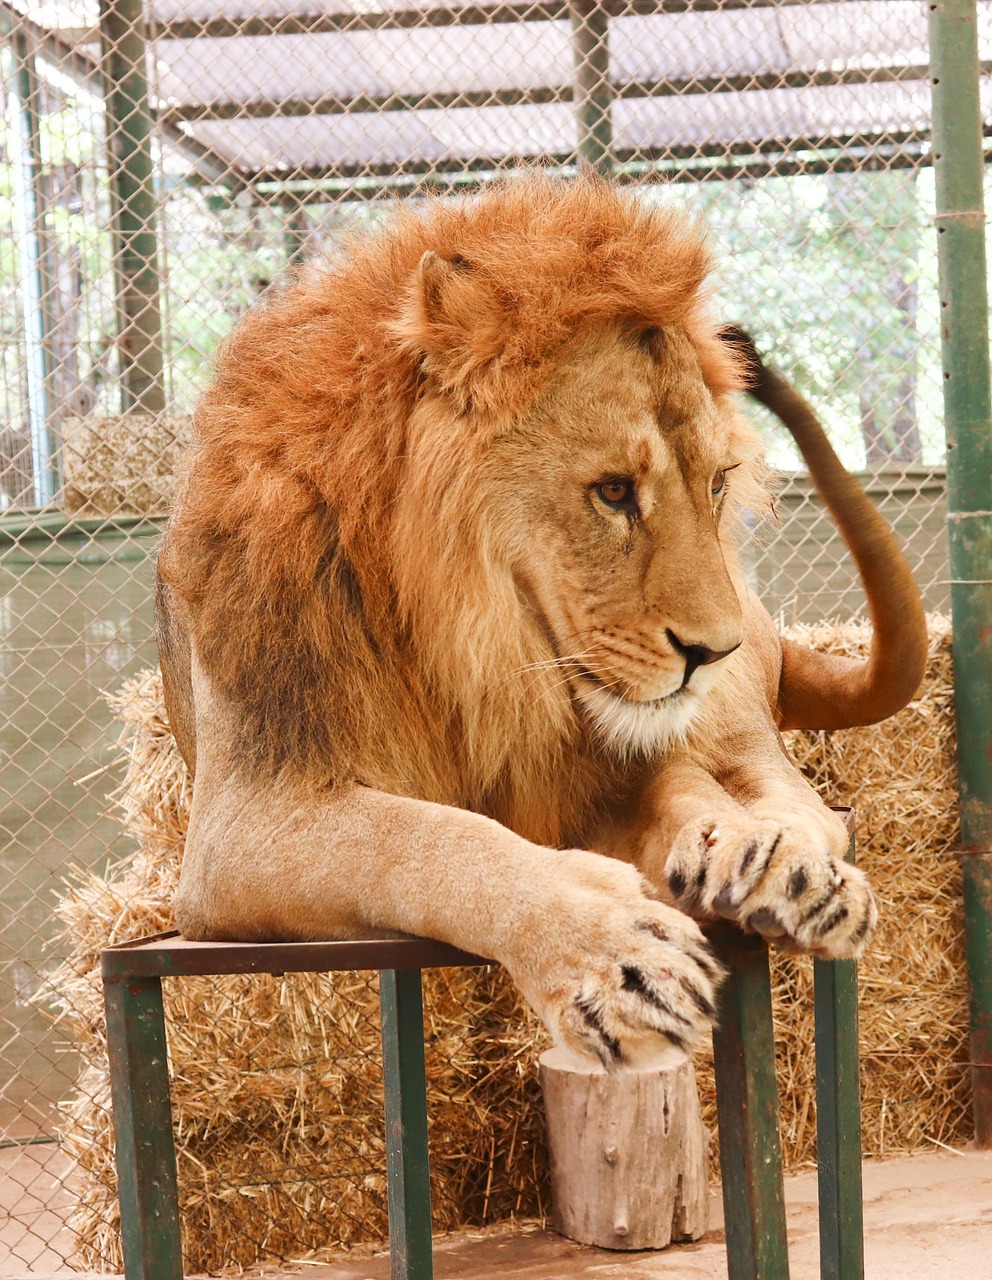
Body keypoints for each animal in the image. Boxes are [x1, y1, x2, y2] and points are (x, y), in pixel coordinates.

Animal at [157, 175, 927, 1070]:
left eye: (717, 484)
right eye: (614, 491)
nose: (714, 649)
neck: (473, 649)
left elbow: (661, 791)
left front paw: (708, 880)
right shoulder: (241, 821)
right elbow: (432, 840)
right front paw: (617, 958)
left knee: (785, 796)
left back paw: (781, 867)